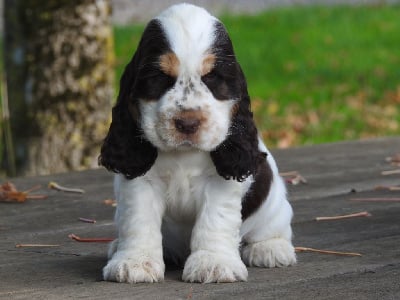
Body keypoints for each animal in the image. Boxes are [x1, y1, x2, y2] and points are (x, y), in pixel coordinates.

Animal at [98, 2, 296, 284]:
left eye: (212, 77)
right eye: (159, 77)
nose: (188, 123)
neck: (183, 154)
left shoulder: (220, 183)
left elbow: (215, 220)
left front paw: (213, 264)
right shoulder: (139, 181)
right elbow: (139, 220)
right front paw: (134, 262)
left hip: (274, 204)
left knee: (271, 229)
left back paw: (270, 249)